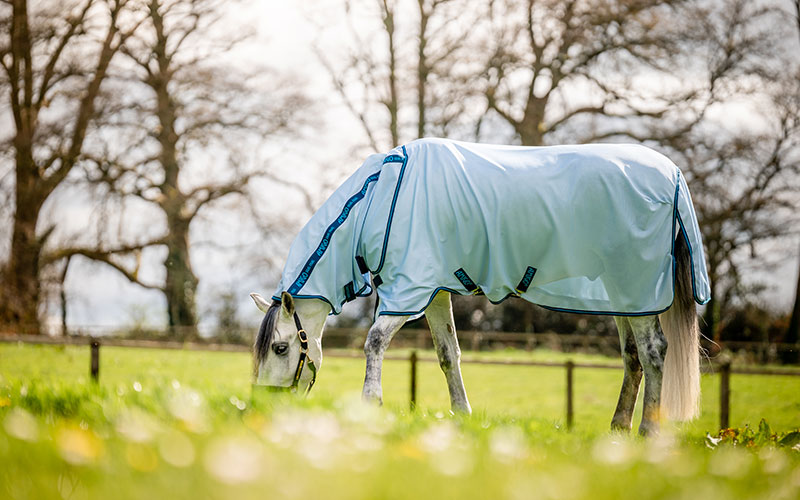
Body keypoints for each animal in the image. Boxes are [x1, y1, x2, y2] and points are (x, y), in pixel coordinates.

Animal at [248, 139, 708, 436]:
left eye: (281, 348)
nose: (267, 406)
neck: (381, 196)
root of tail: (673, 175)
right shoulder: (434, 292)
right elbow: (448, 354)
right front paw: (462, 415)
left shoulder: (410, 291)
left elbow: (375, 341)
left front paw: (371, 405)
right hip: (624, 297)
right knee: (633, 357)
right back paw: (618, 429)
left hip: (640, 291)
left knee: (653, 353)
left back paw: (648, 431)